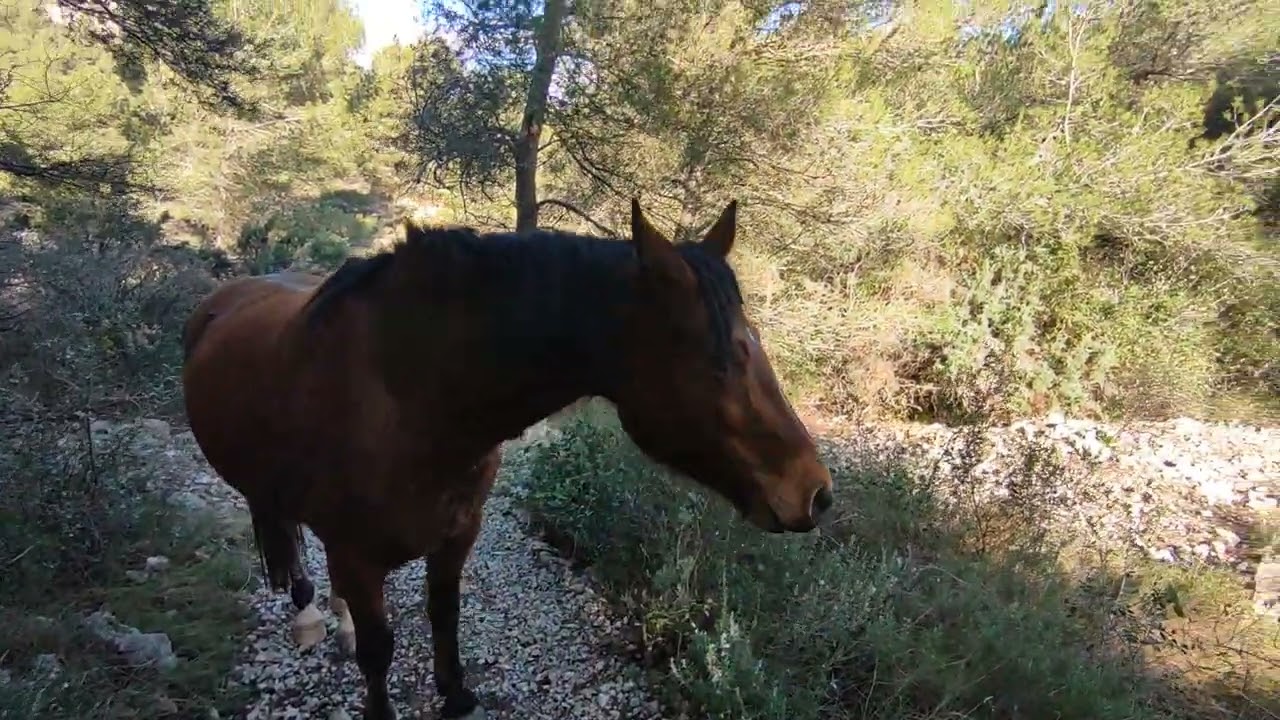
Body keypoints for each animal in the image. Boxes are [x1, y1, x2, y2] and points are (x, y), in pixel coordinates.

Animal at [180, 199, 834, 720]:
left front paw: (456, 695)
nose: (816, 491)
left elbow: (444, 614)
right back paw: (309, 610)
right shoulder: (358, 555)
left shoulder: (456, 534)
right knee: (280, 532)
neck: (410, 399)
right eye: (719, 360)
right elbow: (379, 650)